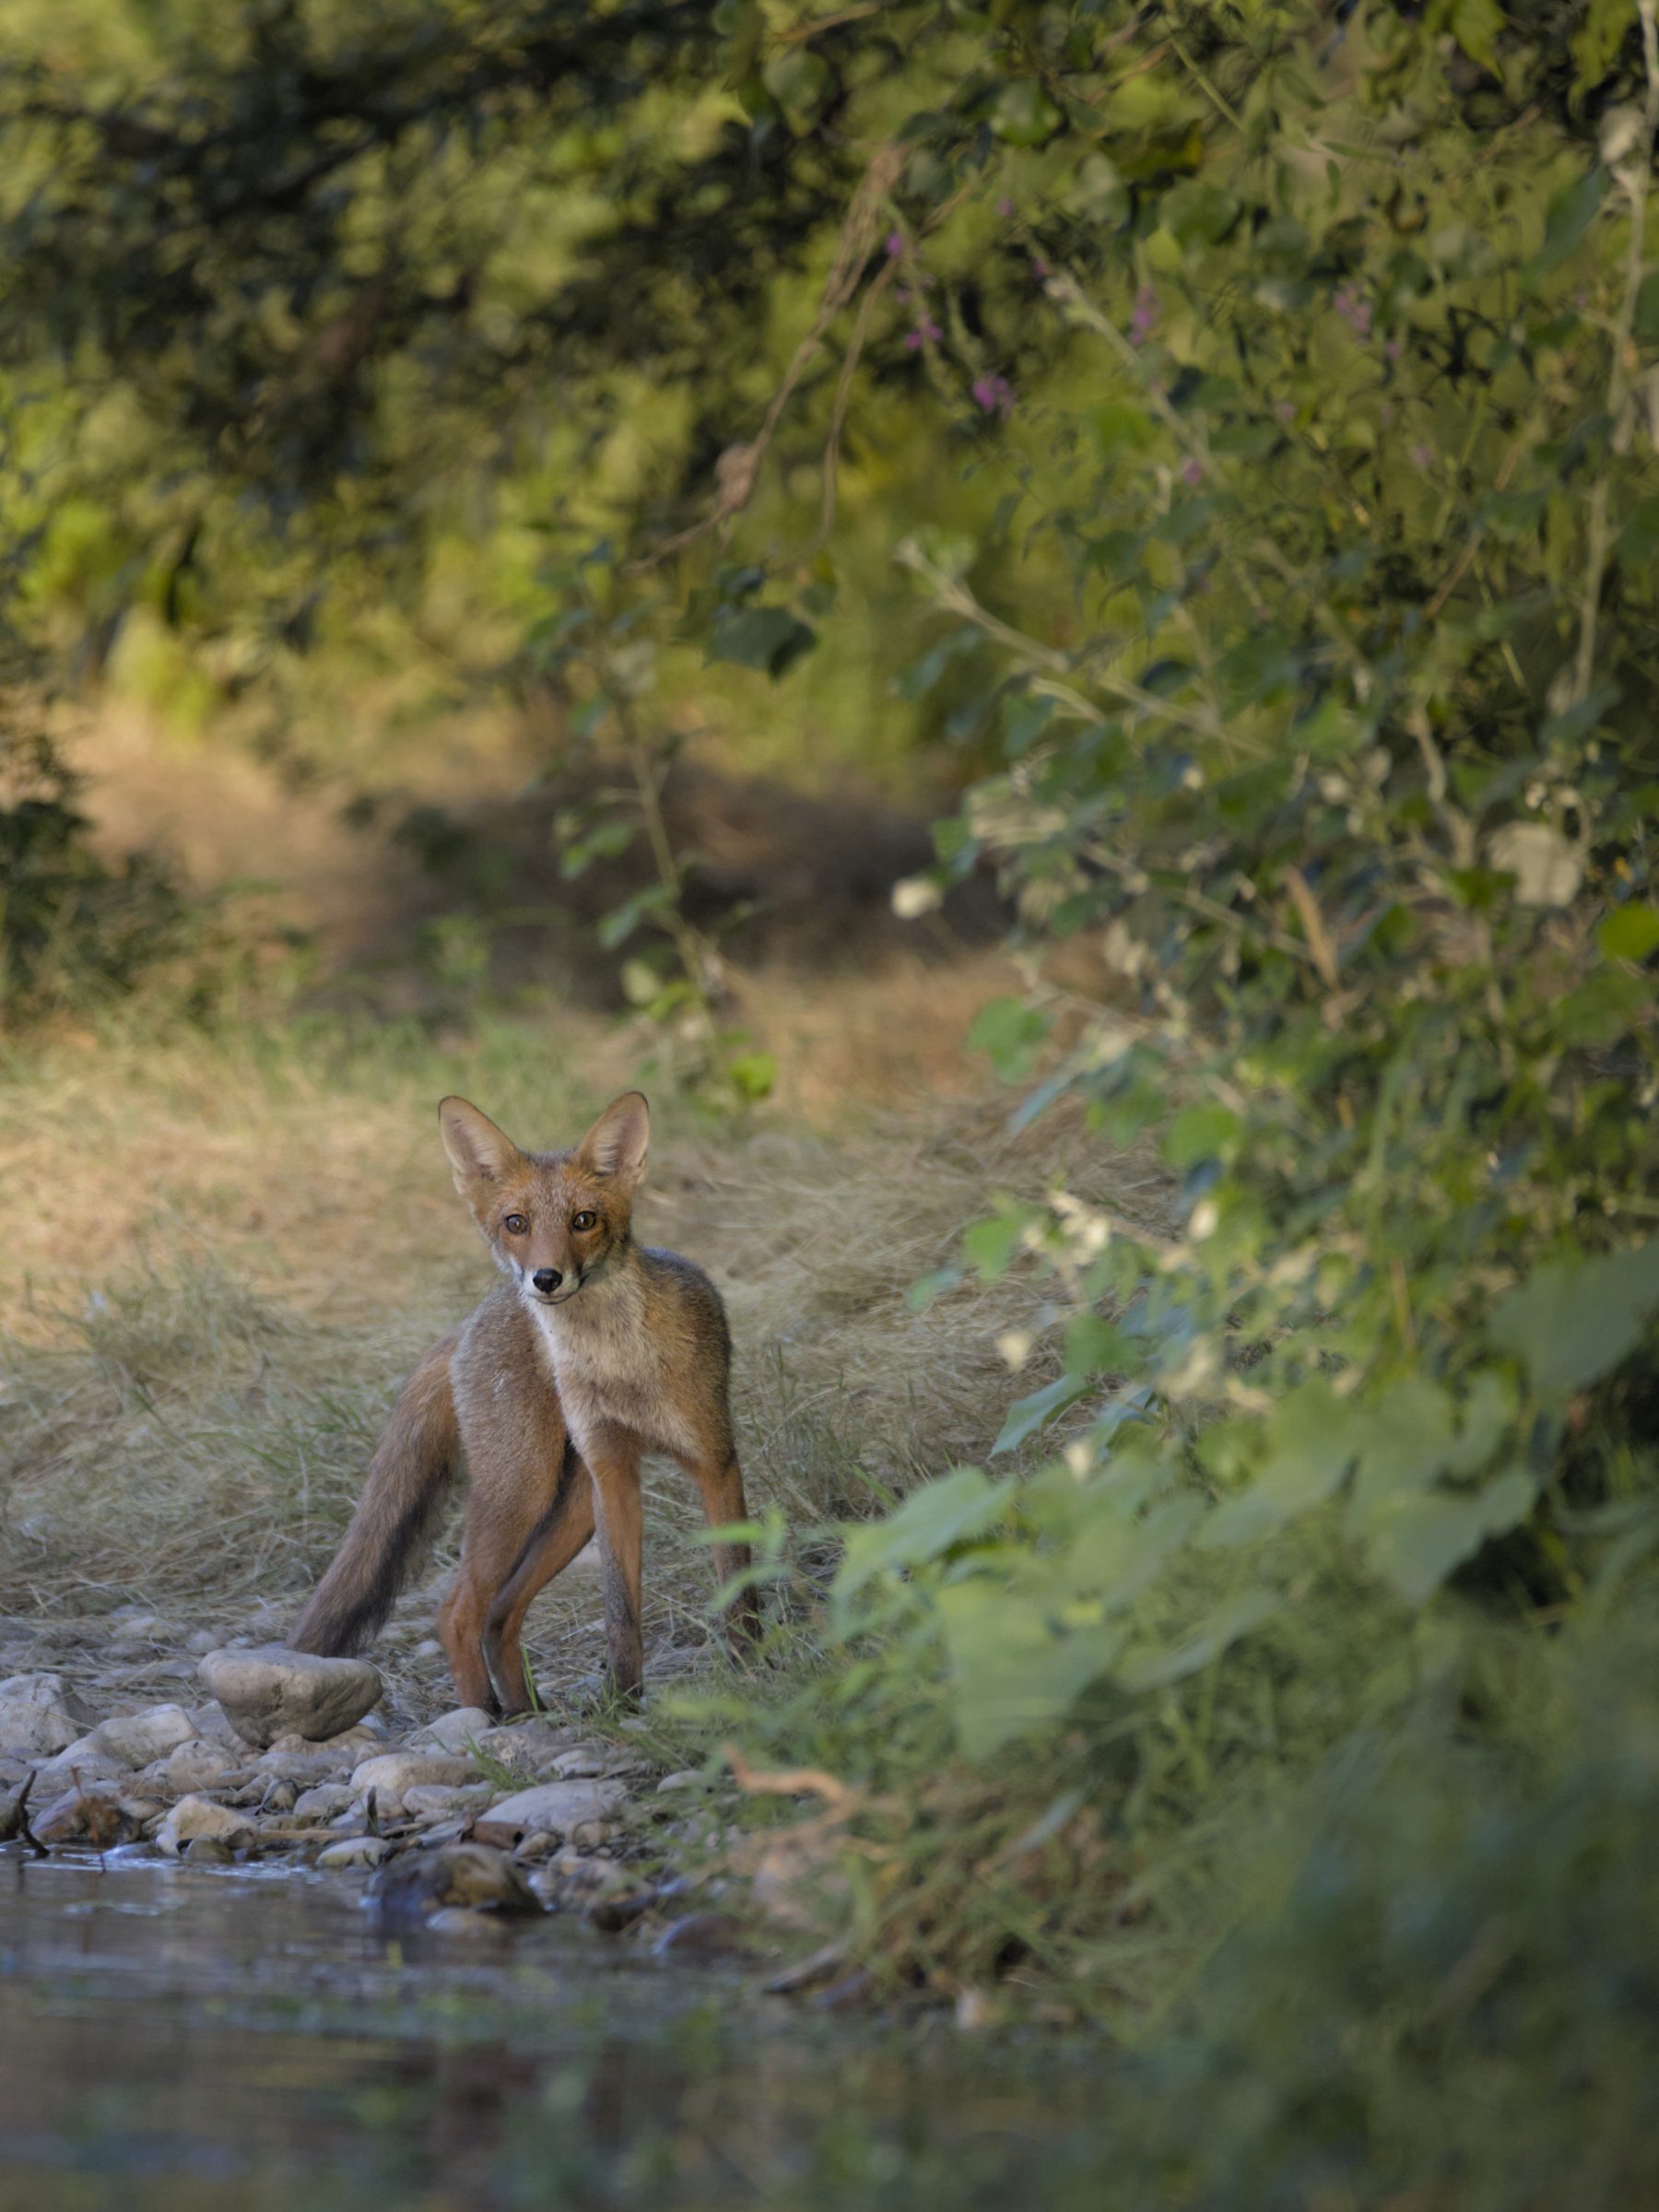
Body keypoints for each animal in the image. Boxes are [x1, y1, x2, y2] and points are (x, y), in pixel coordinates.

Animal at [296, 1088, 765, 1707]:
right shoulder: (613, 1473)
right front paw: (623, 1699)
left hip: (567, 1510)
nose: (545, 1279)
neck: (618, 1365)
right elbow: (621, 1611)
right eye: (515, 1223)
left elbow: (737, 1585)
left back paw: (524, 1712)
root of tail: (470, 1321)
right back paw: (486, 1718)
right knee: (458, 1612)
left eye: (584, 1220)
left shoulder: (713, 1461)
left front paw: (752, 1668)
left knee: (498, 1613)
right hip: (524, 1490)